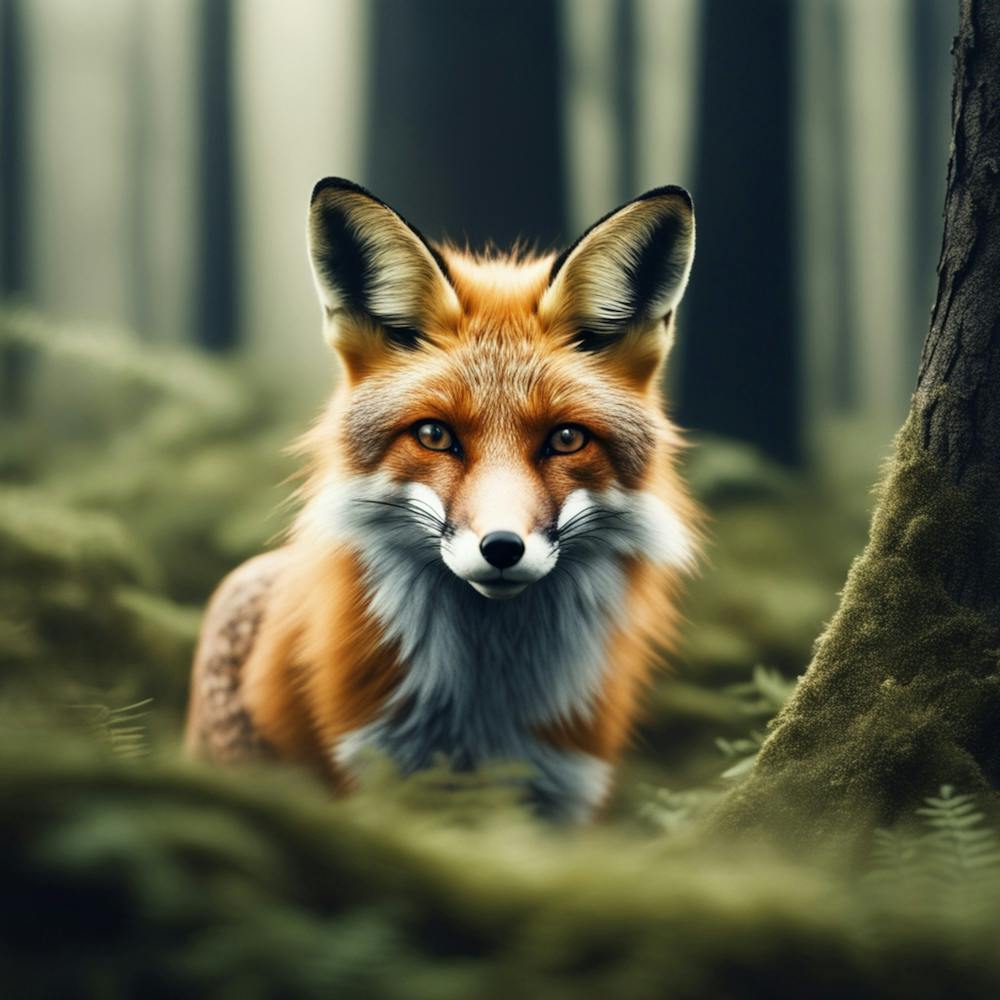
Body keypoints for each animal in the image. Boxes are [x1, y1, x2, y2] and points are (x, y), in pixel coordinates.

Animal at [185, 177, 698, 822]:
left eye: (566, 438)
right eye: (434, 435)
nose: (501, 548)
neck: (481, 716)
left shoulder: (565, 789)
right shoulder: (374, 770)